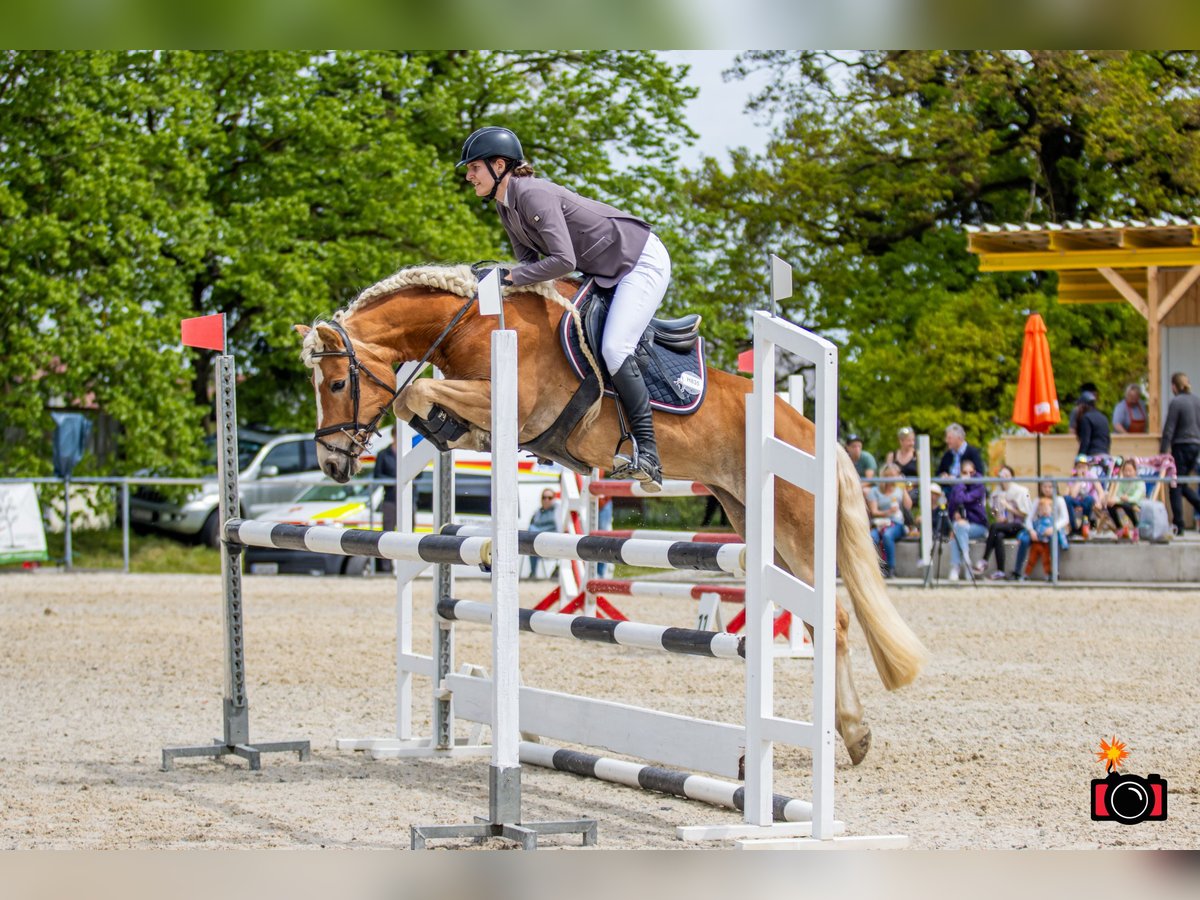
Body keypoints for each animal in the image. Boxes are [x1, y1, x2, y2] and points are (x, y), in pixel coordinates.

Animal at [292, 264, 926, 763]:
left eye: (338, 382)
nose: (333, 463)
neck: (475, 324)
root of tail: (814, 434)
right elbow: (419, 402)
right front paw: (440, 430)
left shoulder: (507, 402)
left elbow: (414, 394)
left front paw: (427, 415)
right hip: (753, 521)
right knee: (818, 620)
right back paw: (847, 733)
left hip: (796, 526)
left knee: (834, 620)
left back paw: (854, 734)